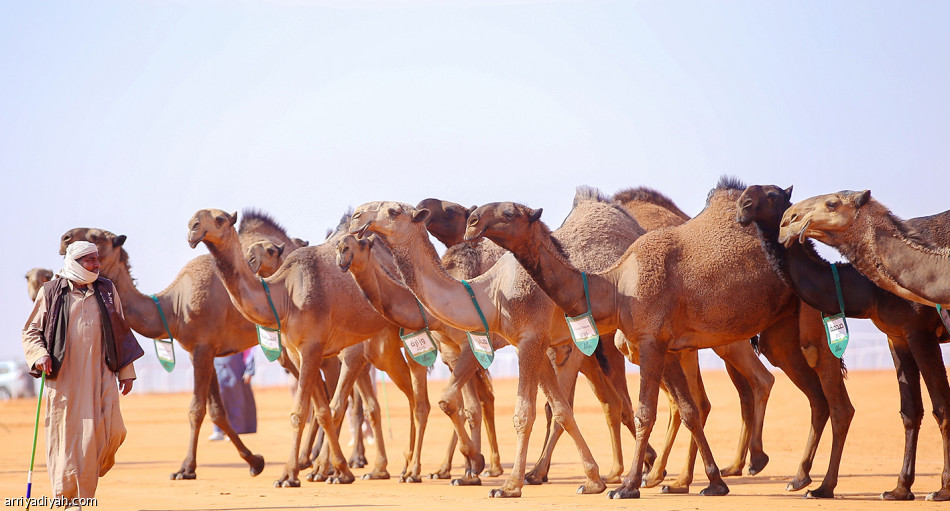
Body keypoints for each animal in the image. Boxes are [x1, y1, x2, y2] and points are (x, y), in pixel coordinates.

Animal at [188, 209, 434, 488]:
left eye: (218, 219)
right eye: (195, 218)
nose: (193, 229)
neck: (286, 296)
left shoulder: (316, 350)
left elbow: (306, 411)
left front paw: (291, 474)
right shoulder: (302, 354)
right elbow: (322, 411)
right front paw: (336, 470)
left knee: (417, 397)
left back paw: (416, 469)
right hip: (384, 349)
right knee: (402, 398)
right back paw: (393, 467)